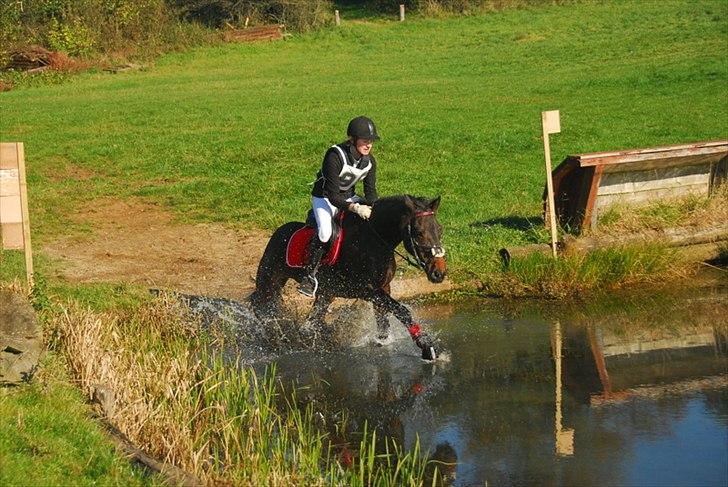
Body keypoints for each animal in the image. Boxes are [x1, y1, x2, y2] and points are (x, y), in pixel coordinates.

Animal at [249, 195, 444, 362]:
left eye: (440, 230)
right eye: (419, 233)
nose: (439, 273)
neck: (375, 241)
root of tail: (278, 232)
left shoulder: (384, 287)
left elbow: (383, 320)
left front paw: (382, 341)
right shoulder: (366, 290)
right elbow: (402, 310)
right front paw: (426, 346)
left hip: (326, 294)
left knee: (312, 321)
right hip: (270, 281)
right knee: (263, 306)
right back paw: (276, 335)